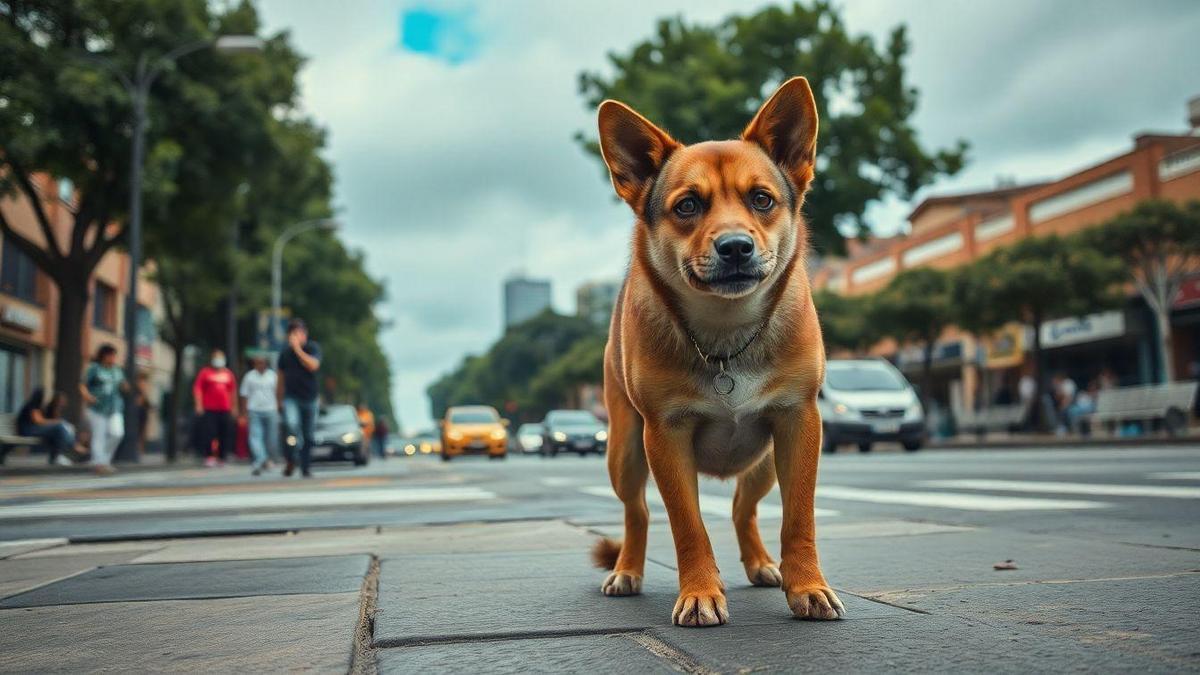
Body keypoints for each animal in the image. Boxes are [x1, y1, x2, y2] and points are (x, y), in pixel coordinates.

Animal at [592, 77, 844, 624]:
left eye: (762, 199)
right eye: (687, 206)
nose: (734, 247)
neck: (726, 337)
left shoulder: (799, 422)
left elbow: (799, 517)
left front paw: (807, 585)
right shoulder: (664, 436)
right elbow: (687, 526)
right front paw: (700, 591)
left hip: (764, 460)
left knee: (741, 509)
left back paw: (763, 564)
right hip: (625, 452)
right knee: (637, 512)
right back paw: (627, 569)